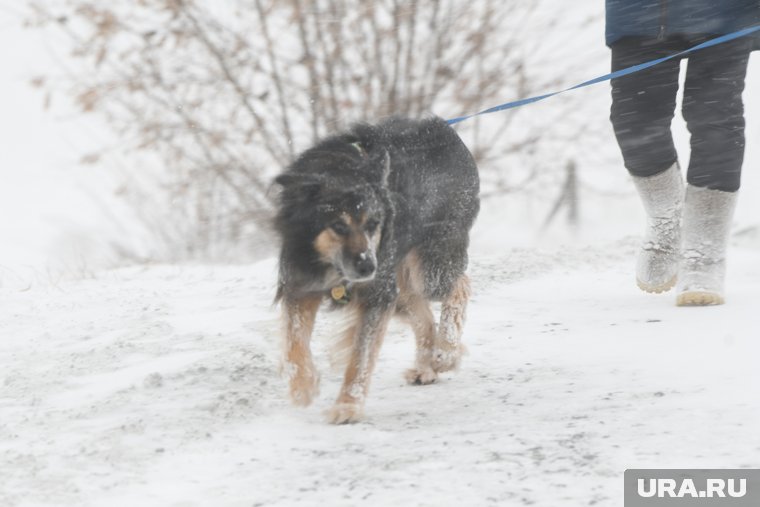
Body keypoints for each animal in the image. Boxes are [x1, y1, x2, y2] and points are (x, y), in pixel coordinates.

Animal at [274, 116, 478, 424]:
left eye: (373, 224)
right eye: (338, 226)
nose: (369, 265)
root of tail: (444, 128)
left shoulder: (376, 294)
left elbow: (361, 356)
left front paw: (348, 405)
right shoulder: (300, 284)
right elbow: (294, 343)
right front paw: (303, 387)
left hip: (429, 268)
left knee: (459, 285)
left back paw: (445, 352)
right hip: (400, 280)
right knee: (423, 314)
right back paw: (426, 366)